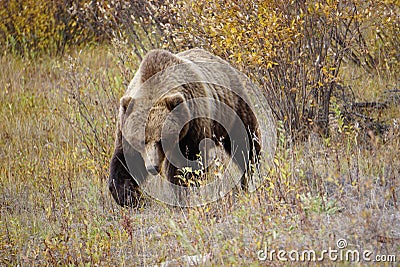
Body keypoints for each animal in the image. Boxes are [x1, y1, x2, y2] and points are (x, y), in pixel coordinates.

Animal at [108, 48, 260, 207]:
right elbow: (125, 162)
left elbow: (189, 164)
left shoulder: (193, 125)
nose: (152, 167)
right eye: (140, 141)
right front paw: (130, 197)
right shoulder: (124, 130)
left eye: (161, 140)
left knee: (245, 142)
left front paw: (183, 192)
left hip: (232, 108)